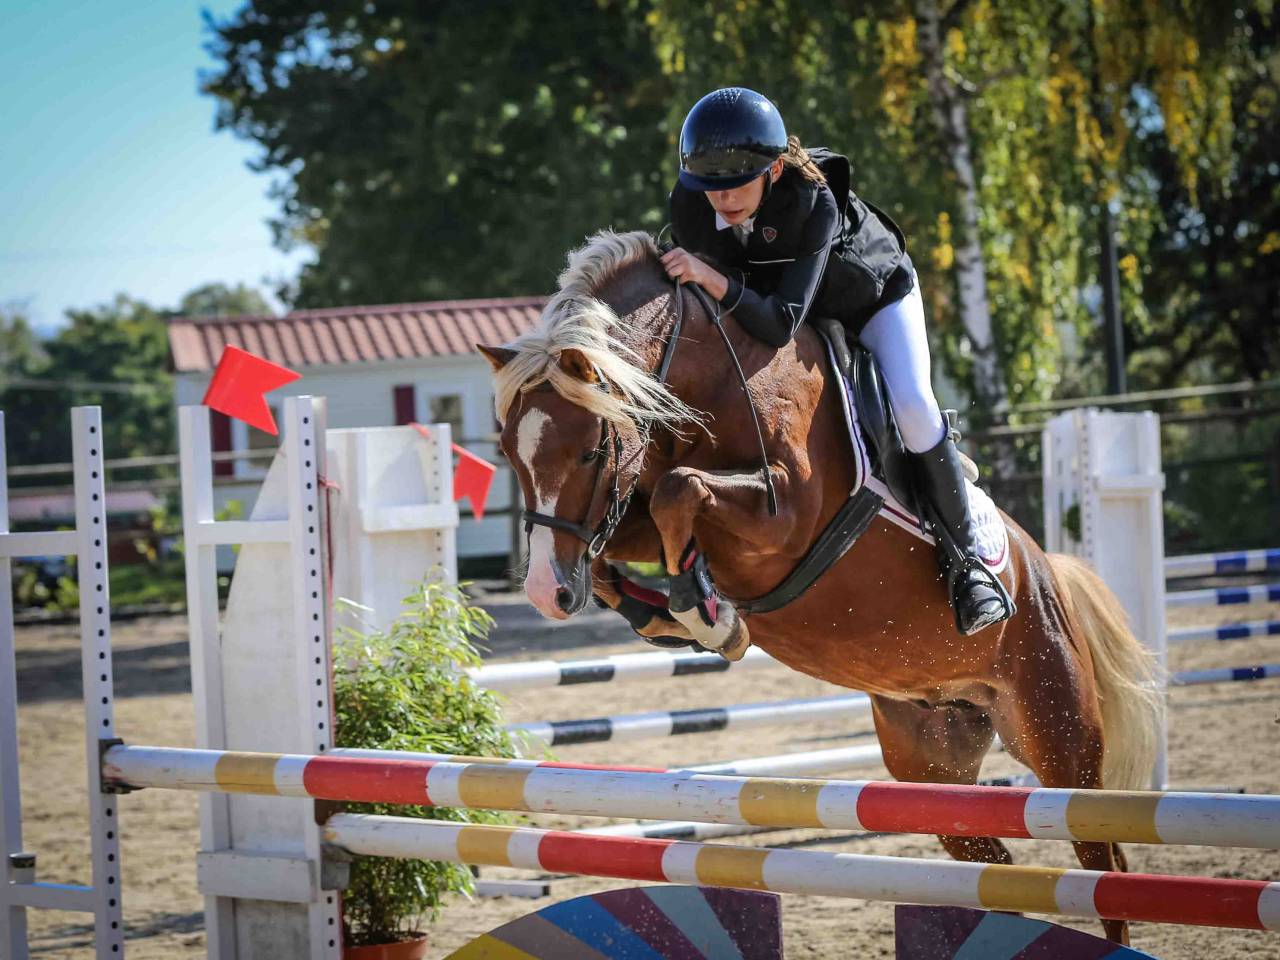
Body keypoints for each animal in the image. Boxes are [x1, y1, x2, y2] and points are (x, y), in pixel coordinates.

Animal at [480, 229, 1161, 943]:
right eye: (510, 454)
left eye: (587, 451)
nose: (546, 593)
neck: (719, 376)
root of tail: (1046, 572)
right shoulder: (632, 507)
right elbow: (627, 536)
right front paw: (674, 613)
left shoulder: (784, 520)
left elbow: (679, 491)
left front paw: (710, 614)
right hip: (931, 765)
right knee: (995, 868)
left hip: (1060, 740)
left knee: (1102, 865)